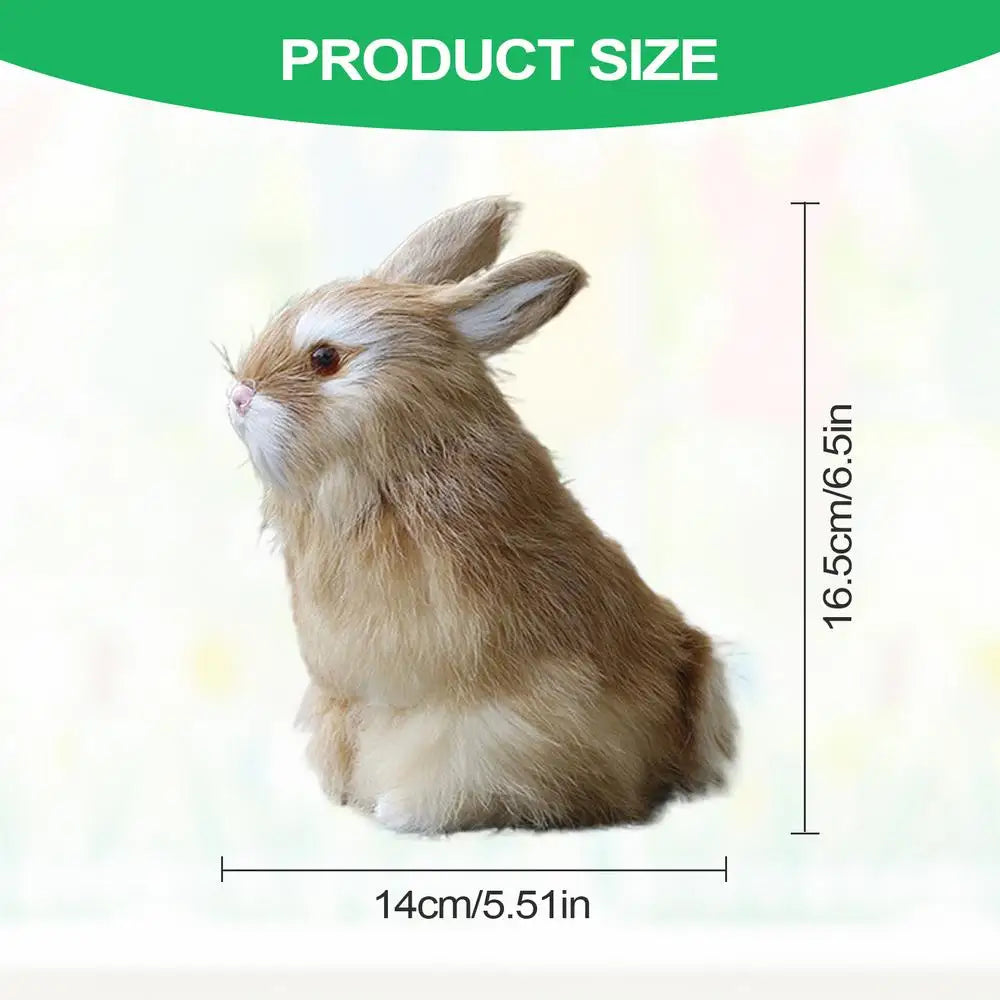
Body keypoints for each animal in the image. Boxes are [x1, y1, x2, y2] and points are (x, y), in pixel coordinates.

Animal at [225, 196, 736, 833]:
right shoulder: (345, 701)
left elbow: (457, 770)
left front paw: (398, 813)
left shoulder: (488, 717)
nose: (238, 397)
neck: (392, 476)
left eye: (324, 358)